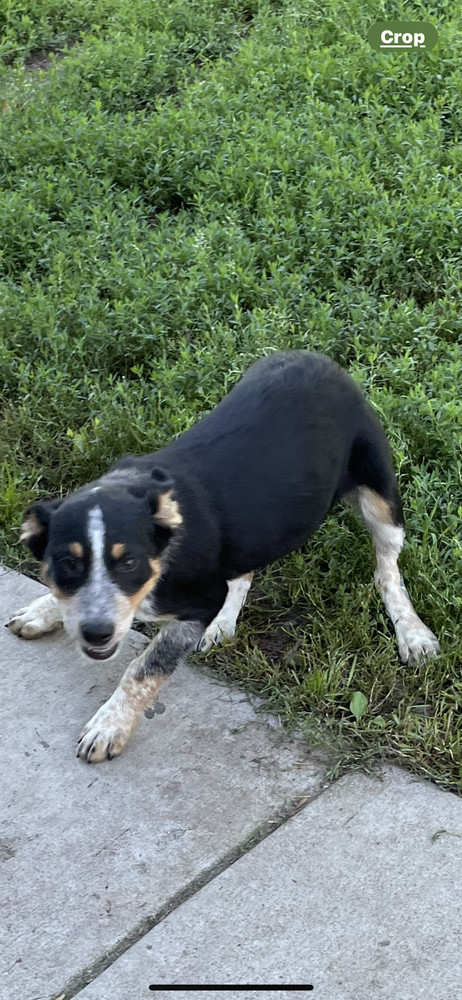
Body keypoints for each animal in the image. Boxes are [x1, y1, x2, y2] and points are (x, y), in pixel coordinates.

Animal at [7, 350, 440, 756]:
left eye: (128, 562)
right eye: (67, 563)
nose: (97, 632)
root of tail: (314, 357)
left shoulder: (197, 604)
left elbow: (142, 669)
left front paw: (109, 725)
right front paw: (42, 610)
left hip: (380, 497)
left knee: (387, 571)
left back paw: (412, 634)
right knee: (245, 571)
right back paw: (223, 625)